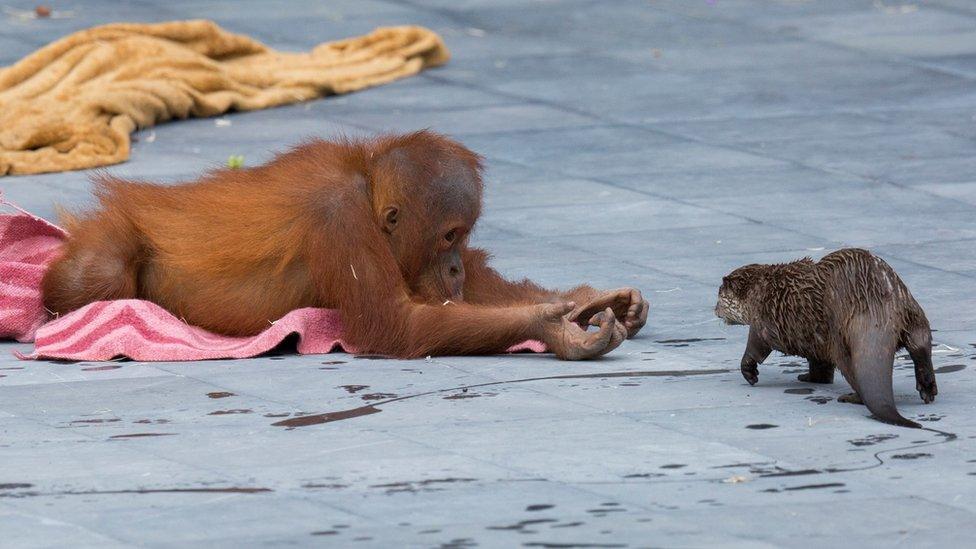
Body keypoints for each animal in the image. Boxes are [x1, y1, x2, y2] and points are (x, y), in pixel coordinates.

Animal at [716, 248, 936, 428]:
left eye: (719, 295)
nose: (715, 309)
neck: (759, 291)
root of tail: (876, 308)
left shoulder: (763, 321)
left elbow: (755, 347)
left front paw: (750, 372)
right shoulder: (814, 338)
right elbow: (819, 364)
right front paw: (810, 378)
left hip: (840, 339)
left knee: (853, 372)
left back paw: (851, 397)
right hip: (911, 309)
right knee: (920, 343)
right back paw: (928, 389)